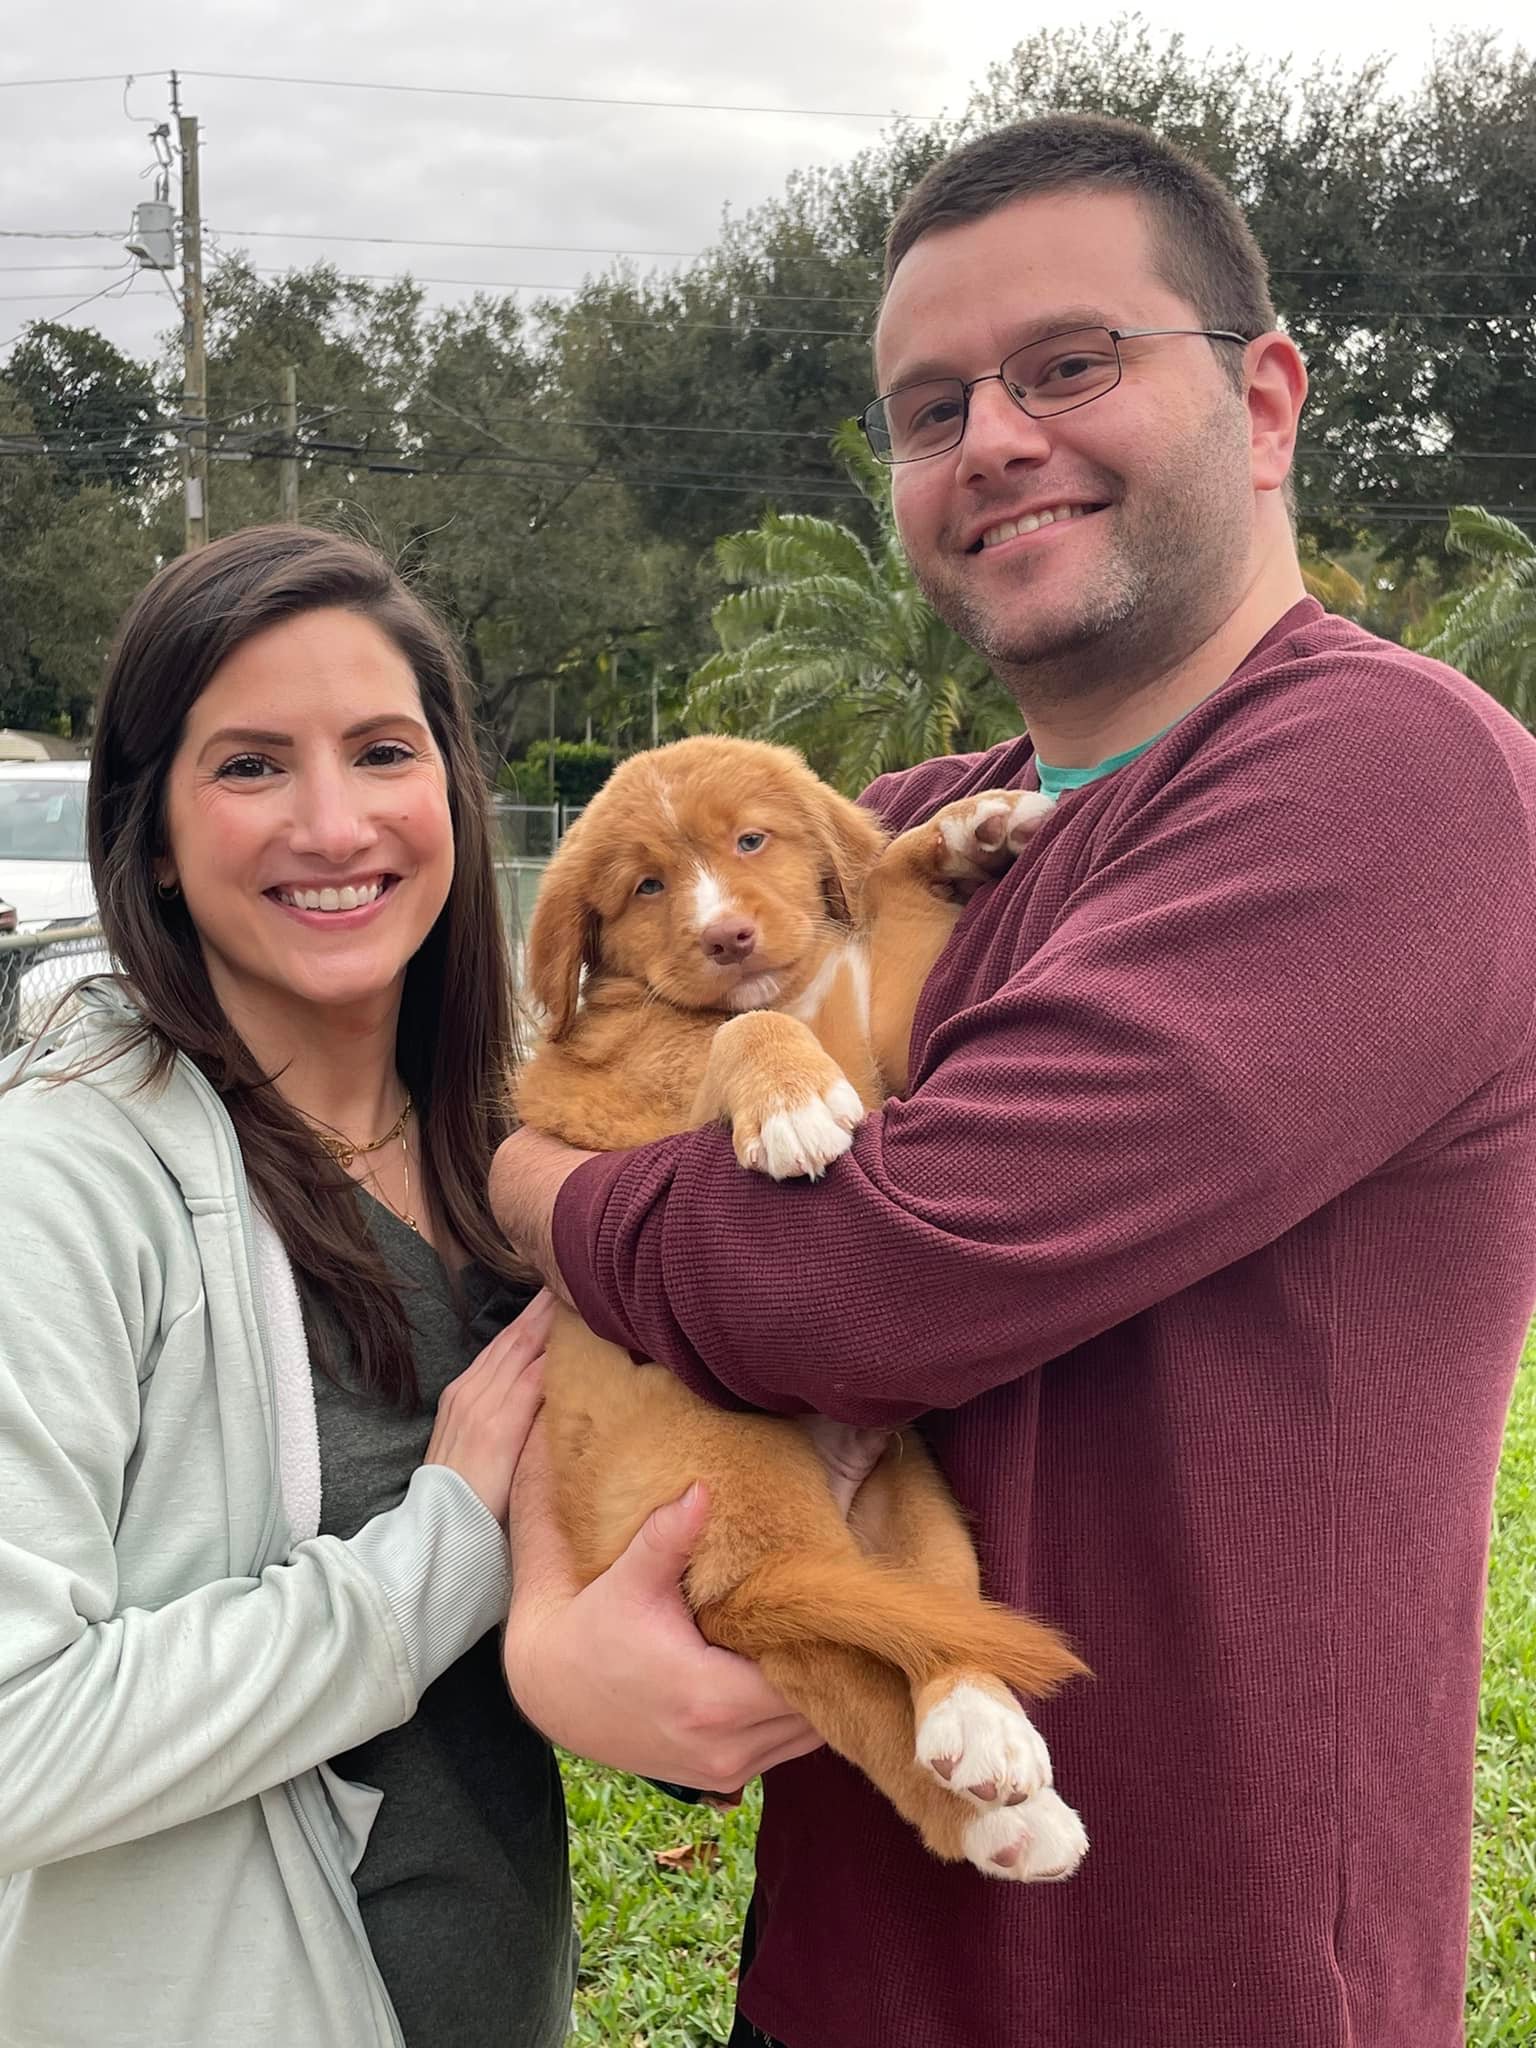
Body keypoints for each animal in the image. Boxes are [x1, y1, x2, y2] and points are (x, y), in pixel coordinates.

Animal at [524, 741, 1089, 1884]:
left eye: (752, 839)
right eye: (646, 887)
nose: (725, 935)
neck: (791, 982)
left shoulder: (892, 1032)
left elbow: (890, 914)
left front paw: (973, 829)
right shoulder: (655, 1119)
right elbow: (750, 1025)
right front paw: (788, 1103)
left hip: (915, 1502)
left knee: (935, 1626)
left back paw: (984, 1726)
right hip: (741, 1493)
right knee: (841, 1678)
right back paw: (1003, 1823)